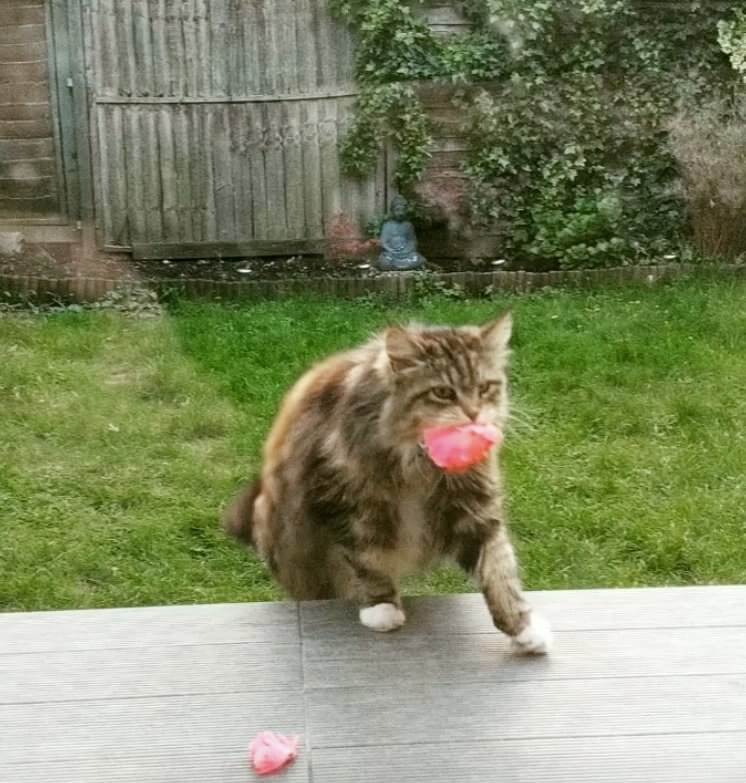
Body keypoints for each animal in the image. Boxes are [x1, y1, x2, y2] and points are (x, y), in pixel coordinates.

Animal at [219, 312, 548, 656]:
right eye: (443, 392)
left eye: (484, 388)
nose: (473, 414)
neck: (419, 461)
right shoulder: (346, 501)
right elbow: (367, 560)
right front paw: (382, 608)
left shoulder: (474, 507)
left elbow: (499, 570)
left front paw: (523, 628)